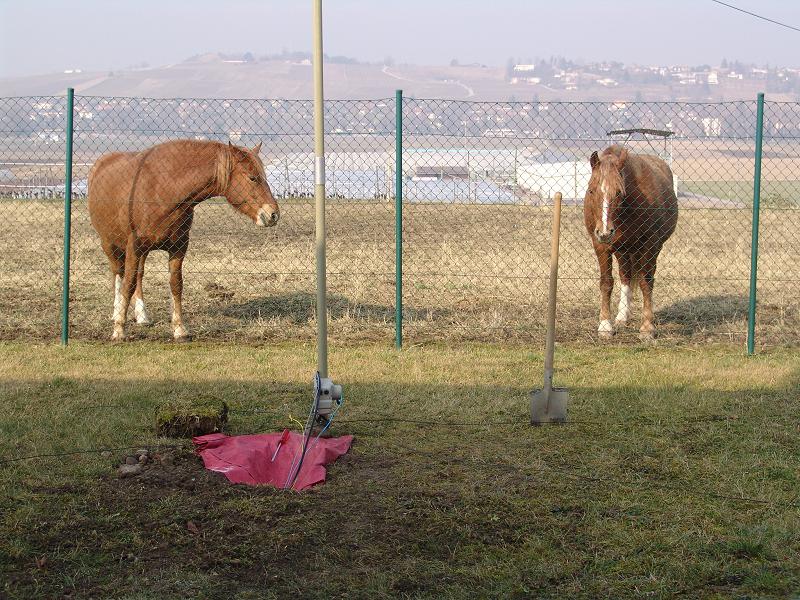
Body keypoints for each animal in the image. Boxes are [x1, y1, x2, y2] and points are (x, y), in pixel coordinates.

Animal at [87, 138, 280, 340]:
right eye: (252, 177)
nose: (273, 214)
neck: (161, 189)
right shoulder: (134, 246)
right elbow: (128, 285)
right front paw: (119, 329)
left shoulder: (178, 247)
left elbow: (175, 285)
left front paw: (179, 328)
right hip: (109, 244)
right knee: (119, 273)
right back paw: (117, 312)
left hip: (143, 252)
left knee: (138, 275)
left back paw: (142, 316)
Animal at [584, 146, 680, 340]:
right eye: (591, 190)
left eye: (619, 192)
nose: (604, 232)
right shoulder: (601, 246)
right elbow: (606, 283)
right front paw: (605, 325)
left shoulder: (650, 244)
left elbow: (645, 282)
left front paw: (647, 327)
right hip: (623, 250)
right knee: (625, 275)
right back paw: (622, 316)